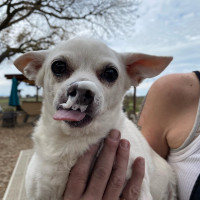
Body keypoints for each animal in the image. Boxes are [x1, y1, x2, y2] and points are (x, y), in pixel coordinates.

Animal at [14, 37, 177, 198]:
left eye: (111, 73)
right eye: (58, 66)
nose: (82, 90)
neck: (71, 141)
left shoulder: (140, 192)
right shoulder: (38, 192)